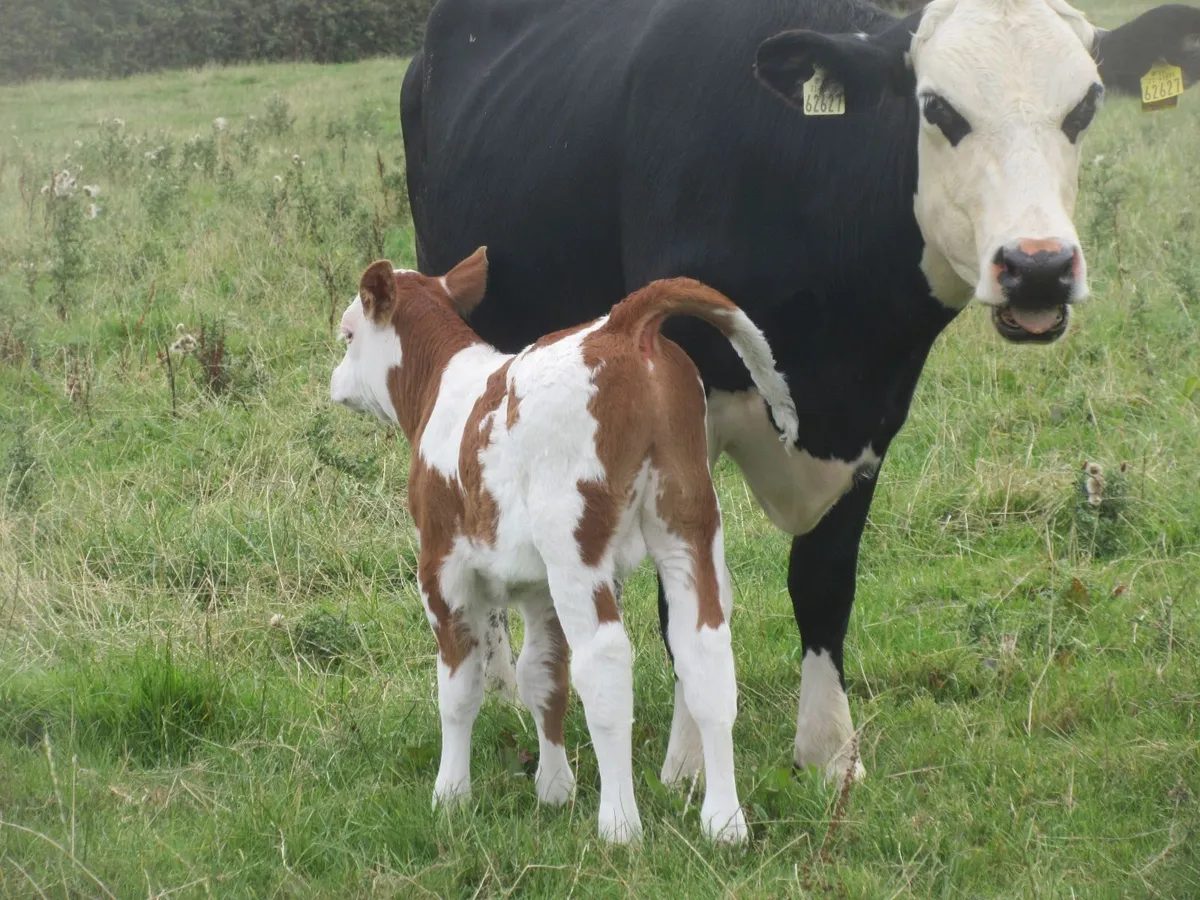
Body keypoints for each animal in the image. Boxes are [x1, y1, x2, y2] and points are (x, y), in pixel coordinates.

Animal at [329, 249, 799, 843]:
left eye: (347, 333)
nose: (335, 382)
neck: (444, 388)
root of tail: (621, 326)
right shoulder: (537, 586)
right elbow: (543, 677)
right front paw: (554, 789)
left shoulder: (441, 567)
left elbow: (461, 686)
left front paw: (451, 795)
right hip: (689, 521)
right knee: (705, 651)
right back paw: (724, 822)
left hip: (575, 544)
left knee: (606, 662)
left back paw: (620, 825)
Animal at [400, 0, 1200, 787]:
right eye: (938, 108)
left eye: (1085, 106)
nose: (1038, 269)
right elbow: (689, 597)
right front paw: (689, 764)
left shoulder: (873, 417)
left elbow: (823, 584)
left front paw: (829, 751)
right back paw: (502, 678)